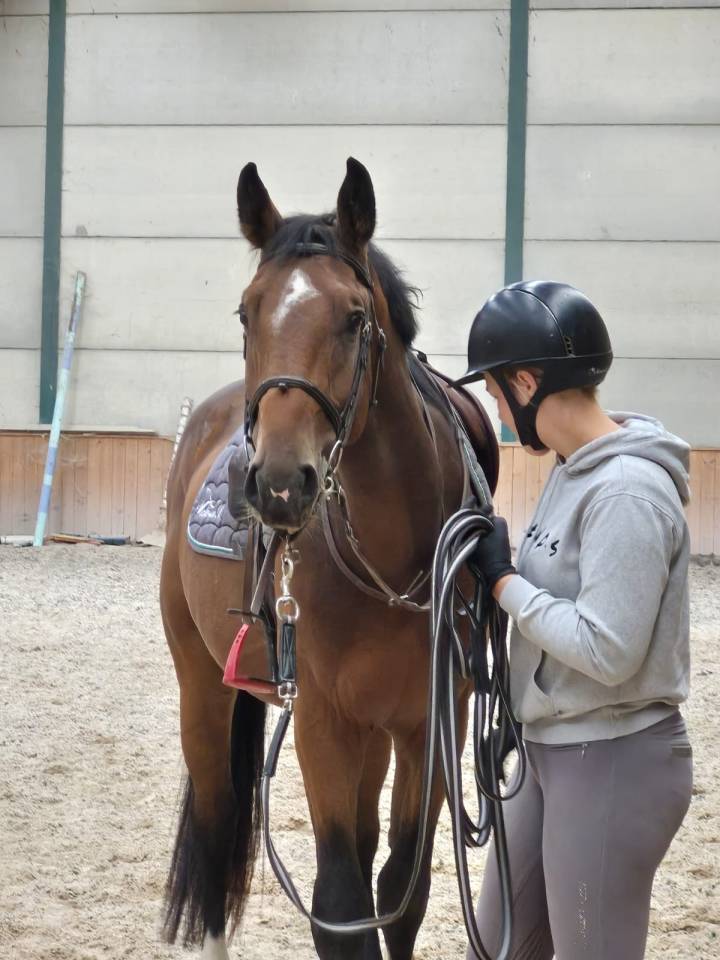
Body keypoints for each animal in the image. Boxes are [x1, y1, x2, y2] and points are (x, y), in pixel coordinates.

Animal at [160, 157, 498, 960]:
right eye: (246, 314)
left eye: (352, 318)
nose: (280, 483)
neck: (390, 564)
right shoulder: (320, 721)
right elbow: (340, 901)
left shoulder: (430, 722)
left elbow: (401, 888)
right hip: (202, 684)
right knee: (218, 829)